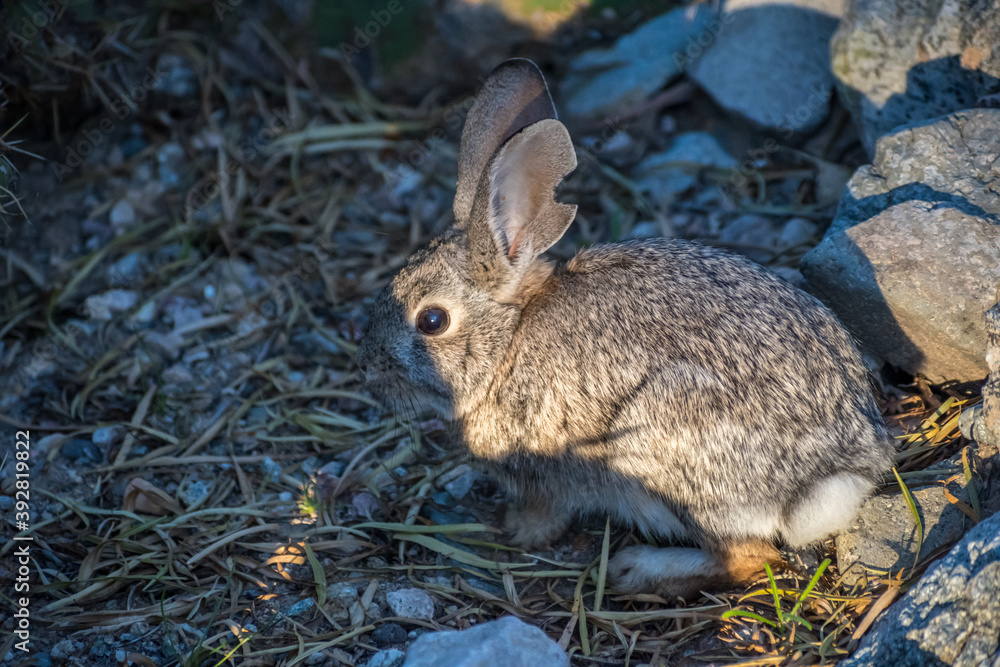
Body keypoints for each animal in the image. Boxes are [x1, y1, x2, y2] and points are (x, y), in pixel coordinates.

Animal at [357, 58, 896, 599]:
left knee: (750, 557)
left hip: (664, 457)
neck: (508, 339)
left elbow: (543, 517)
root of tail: (833, 475)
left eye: (432, 321)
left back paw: (636, 569)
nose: (371, 373)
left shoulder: (543, 473)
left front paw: (512, 531)